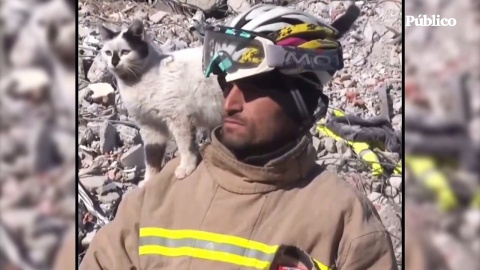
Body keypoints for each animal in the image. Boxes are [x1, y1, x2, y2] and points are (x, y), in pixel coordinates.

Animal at [99, 20, 225, 182]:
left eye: (125, 52)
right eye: (108, 53)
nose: (114, 62)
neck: (136, 82)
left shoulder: (179, 118)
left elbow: (186, 147)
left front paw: (186, 168)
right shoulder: (150, 126)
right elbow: (151, 157)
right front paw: (149, 180)